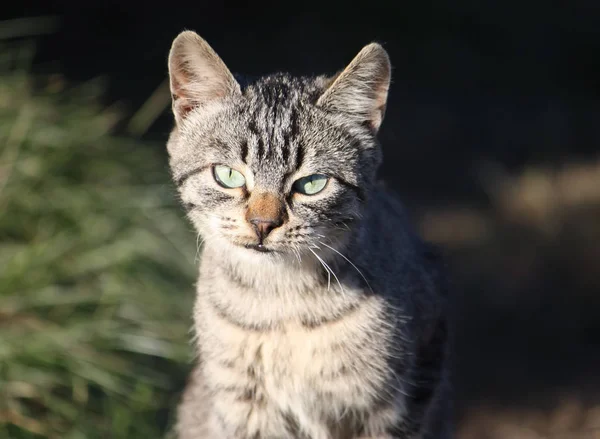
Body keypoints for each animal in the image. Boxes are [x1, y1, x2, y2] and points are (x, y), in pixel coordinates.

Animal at [166, 31, 452, 439]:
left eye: (312, 184)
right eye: (228, 175)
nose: (263, 224)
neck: (282, 301)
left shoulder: (403, 395)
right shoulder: (244, 407)